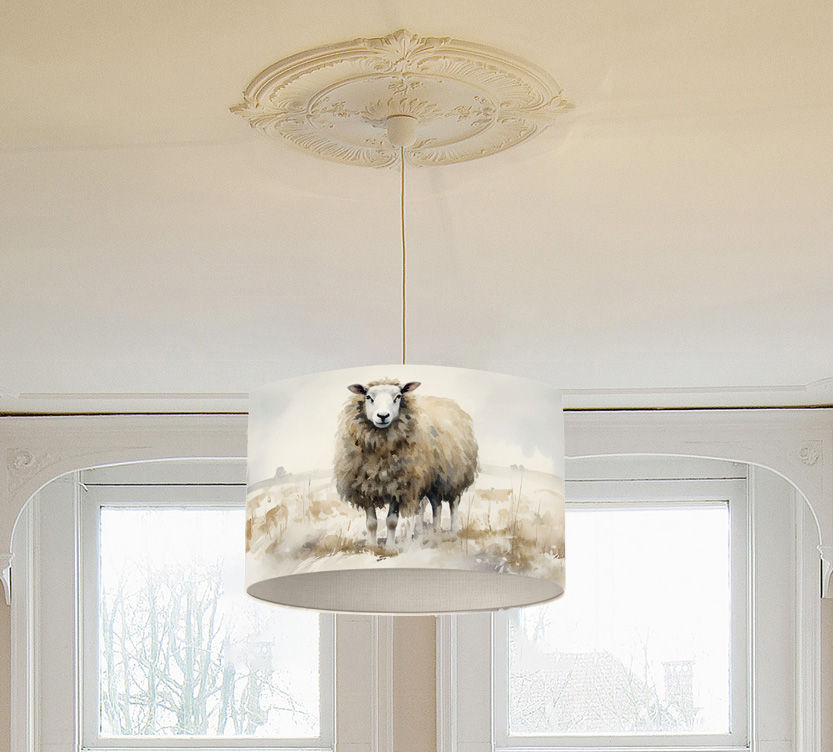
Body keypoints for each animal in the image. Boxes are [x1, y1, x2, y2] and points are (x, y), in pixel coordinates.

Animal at [333, 378, 479, 546]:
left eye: (397, 397)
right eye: (368, 397)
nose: (383, 415)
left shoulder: (401, 486)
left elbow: (391, 521)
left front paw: (390, 547)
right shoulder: (365, 487)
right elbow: (371, 523)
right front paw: (371, 546)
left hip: (454, 475)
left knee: (453, 503)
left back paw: (453, 531)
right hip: (432, 481)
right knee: (437, 505)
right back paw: (434, 532)